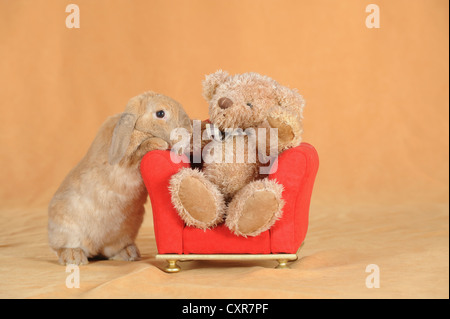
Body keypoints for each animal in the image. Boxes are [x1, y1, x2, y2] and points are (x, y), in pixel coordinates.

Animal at [48, 91, 192, 266]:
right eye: (160, 113)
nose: (189, 130)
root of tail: (95, 248)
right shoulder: (126, 161)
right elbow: (139, 150)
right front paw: (159, 143)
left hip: (123, 233)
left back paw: (129, 254)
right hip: (66, 227)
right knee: (63, 247)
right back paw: (74, 257)